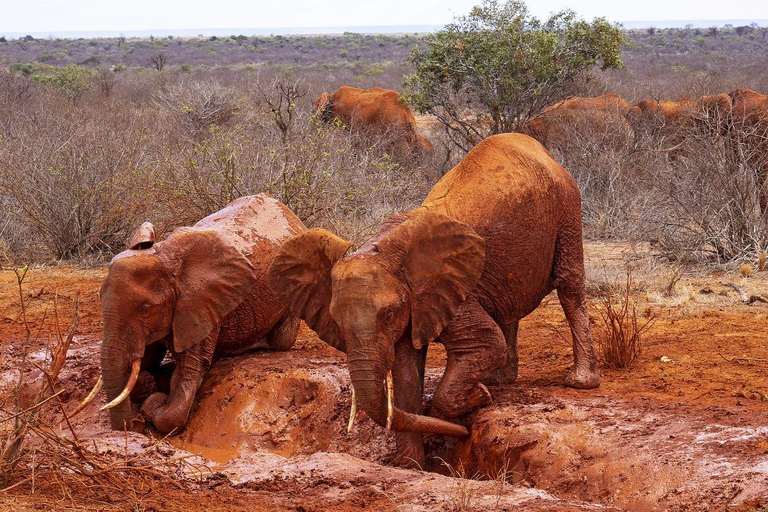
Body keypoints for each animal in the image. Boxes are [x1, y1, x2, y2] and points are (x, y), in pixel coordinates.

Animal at [91, 194, 304, 434]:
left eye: (146, 309)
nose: (135, 424)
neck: (166, 258)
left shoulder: (201, 305)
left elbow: (187, 373)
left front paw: (154, 400)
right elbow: (148, 360)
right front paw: (148, 384)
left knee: (281, 340)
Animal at [270, 133, 600, 468]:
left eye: (388, 315)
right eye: (336, 320)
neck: (386, 250)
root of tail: (540, 149)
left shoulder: (447, 295)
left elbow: (485, 344)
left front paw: (476, 399)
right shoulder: (418, 304)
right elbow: (405, 375)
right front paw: (413, 465)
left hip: (568, 211)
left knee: (570, 286)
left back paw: (578, 381)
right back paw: (499, 380)